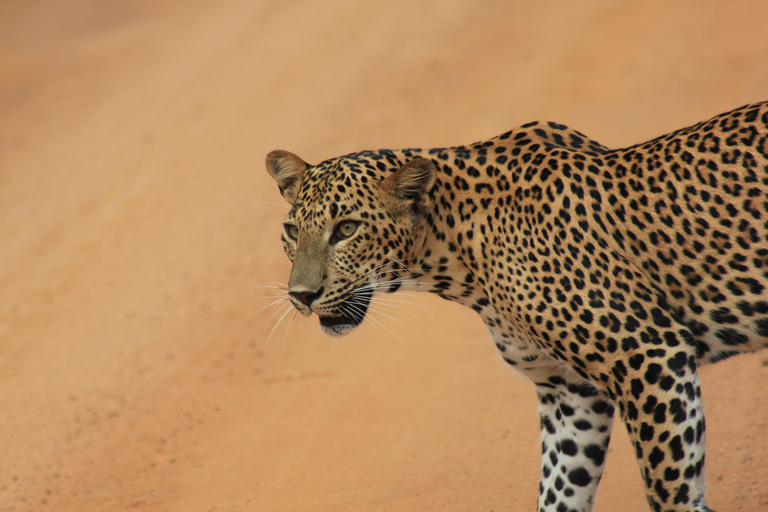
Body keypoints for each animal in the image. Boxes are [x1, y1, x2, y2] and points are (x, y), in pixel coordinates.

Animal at [264, 101, 768, 512]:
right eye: (292, 231)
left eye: (347, 229)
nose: (301, 296)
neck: (454, 252)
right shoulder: (570, 393)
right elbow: (559, 490)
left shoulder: (648, 357)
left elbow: (670, 489)